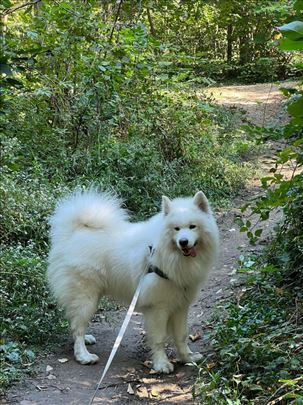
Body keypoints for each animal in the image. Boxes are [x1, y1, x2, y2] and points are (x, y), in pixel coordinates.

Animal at [47, 189, 218, 372]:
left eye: (192, 226)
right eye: (176, 229)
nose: (183, 242)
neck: (170, 256)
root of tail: (74, 232)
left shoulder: (180, 306)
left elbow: (181, 336)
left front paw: (187, 358)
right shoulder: (157, 307)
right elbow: (159, 339)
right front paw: (161, 364)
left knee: (76, 323)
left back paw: (86, 339)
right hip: (86, 297)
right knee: (77, 326)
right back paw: (84, 356)